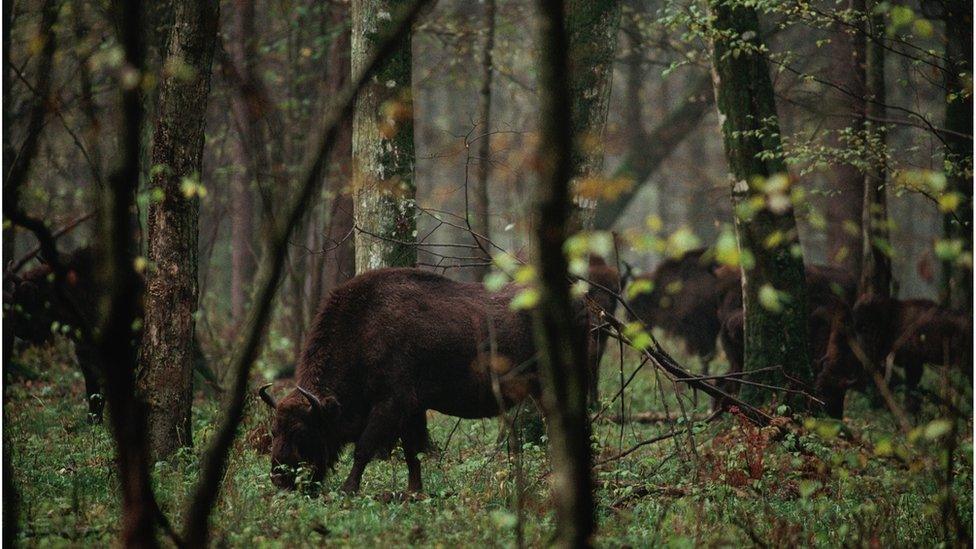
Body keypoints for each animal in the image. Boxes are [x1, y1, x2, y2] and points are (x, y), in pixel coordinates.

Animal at [260, 266, 592, 492]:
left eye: (302, 430)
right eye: (274, 430)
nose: (279, 478)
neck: (363, 331)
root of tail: (580, 302)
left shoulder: (391, 405)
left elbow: (364, 448)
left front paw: (348, 490)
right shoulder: (411, 410)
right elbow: (413, 452)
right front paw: (413, 492)